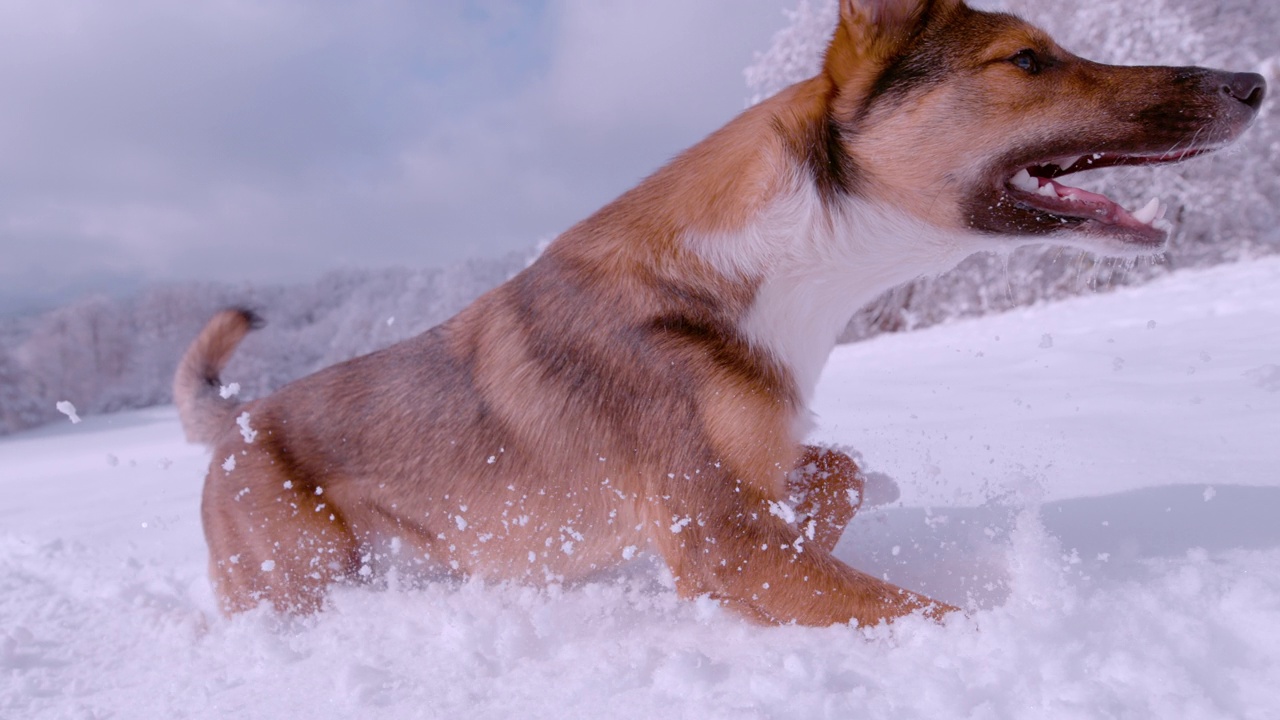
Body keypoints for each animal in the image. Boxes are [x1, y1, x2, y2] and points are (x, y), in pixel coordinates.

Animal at [175, 0, 1264, 625]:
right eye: (1027, 61)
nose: (1252, 79)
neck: (779, 263)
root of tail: (235, 424)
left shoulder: (742, 491)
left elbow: (838, 471)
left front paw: (830, 505)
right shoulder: (718, 542)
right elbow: (925, 612)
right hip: (302, 574)